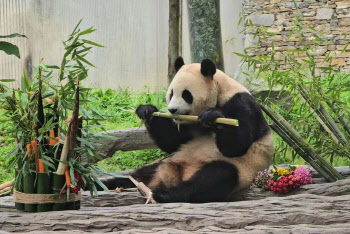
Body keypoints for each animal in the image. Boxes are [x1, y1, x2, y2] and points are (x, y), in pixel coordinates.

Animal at [100, 57, 274, 203]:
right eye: (171, 93)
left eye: (186, 94)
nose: (172, 110)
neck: (219, 91)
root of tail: (178, 175)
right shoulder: (190, 124)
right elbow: (173, 141)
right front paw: (147, 111)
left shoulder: (241, 104)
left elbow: (237, 145)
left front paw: (212, 116)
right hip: (165, 162)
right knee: (134, 176)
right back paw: (102, 185)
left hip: (240, 171)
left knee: (214, 179)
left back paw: (163, 194)